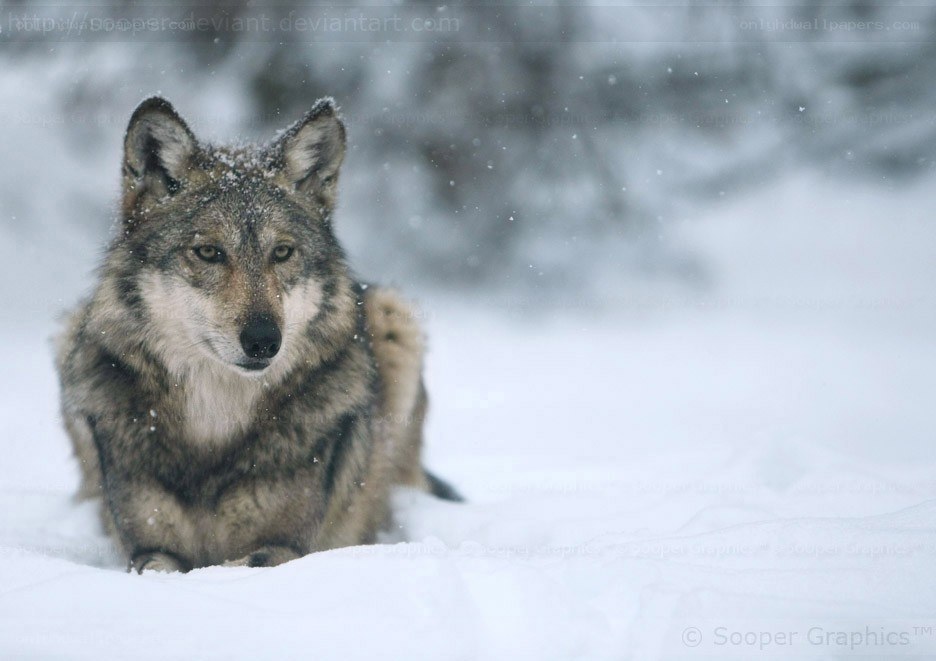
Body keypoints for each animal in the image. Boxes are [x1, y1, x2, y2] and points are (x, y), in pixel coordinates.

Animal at [55, 97, 460, 573]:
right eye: (209, 252)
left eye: (282, 252)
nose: (265, 340)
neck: (214, 422)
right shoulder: (151, 549)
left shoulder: (283, 547)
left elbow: (237, 564)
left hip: (395, 315)